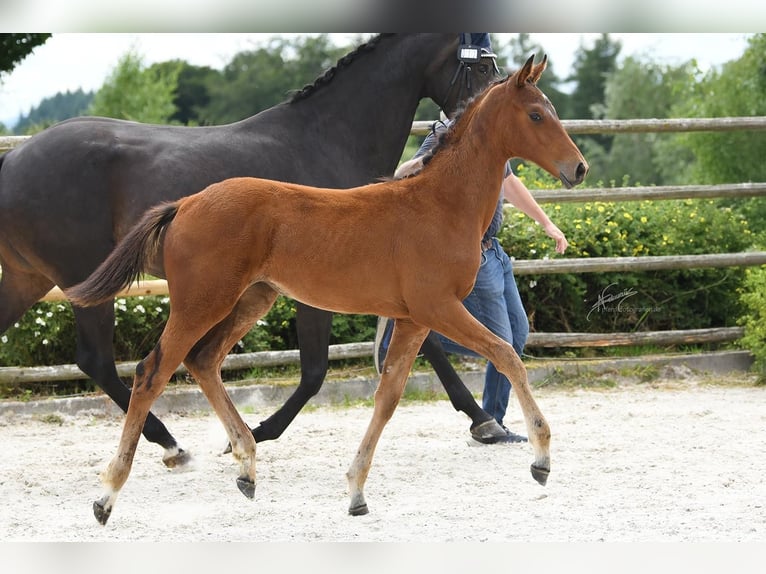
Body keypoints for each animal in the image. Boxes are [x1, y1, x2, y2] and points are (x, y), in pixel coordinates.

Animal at [0, 33, 505, 466]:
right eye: (482, 62)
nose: (489, 108)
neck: (329, 138)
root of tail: (14, 159)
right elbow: (316, 370)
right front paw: (254, 434)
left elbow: (424, 347)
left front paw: (484, 421)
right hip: (81, 279)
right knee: (99, 361)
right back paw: (171, 444)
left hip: (29, 279)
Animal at [67, 55, 588, 524]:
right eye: (536, 114)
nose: (579, 168)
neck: (440, 204)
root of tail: (185, 204)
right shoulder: (439, 308)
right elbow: (507, 355)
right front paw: (541, 458)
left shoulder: (413, 319)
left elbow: (389, 396)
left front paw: (356, 491)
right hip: (201, 303)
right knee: (151, 373)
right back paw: (109, 495)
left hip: (252, 298)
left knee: (203, 360)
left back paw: (247, 466)